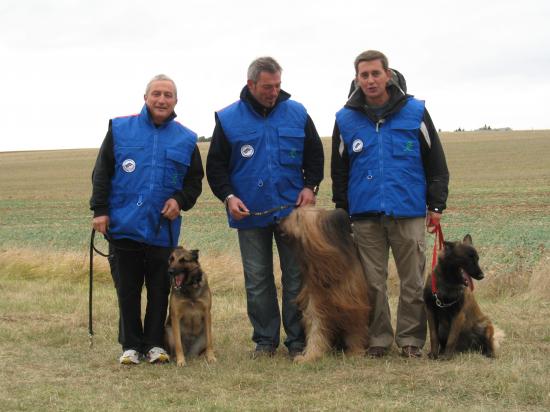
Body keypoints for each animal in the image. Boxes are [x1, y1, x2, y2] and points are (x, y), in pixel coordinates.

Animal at [280, 208, 370, 362]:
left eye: (298, 217)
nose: (277, 220)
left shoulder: (353, 301)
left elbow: (355, 327)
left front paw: (355, 352)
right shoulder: (315, 302)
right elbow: (316, 328)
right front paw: (310, 355)